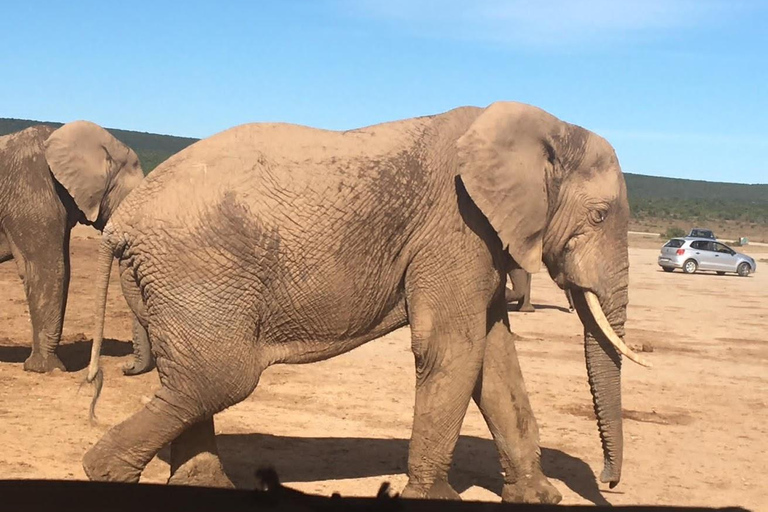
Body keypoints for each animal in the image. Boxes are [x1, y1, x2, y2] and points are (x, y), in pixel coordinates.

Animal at [82, 102, 648, 502]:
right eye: (599, 216)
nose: (610, 480)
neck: (549, 128)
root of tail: (120, 225)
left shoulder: (480, 243)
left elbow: (494, 361)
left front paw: (539, 498)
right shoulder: (456, 228)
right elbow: (453, 350)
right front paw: (437, 499)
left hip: (169, 281)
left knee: (193, 383)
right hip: (197, 270)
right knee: (219, 378)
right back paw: (102, 474)